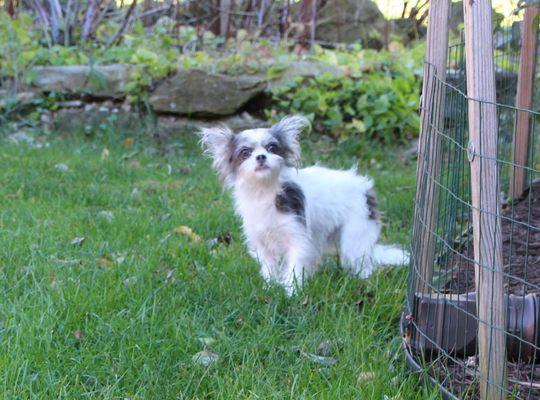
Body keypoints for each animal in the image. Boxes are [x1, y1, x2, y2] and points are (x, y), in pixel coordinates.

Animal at [200, 115, 408, 294]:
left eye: (272, 148)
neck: (265, 191)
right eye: (245, 153)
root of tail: (366, 189)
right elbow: (269, 268)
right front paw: (270, 288)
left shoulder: (297, 238)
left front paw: (291, 292)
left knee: (361, 262)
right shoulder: (263, 243)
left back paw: (362, 280)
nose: (261, 157)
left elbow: (295, 266)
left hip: (354, 237)